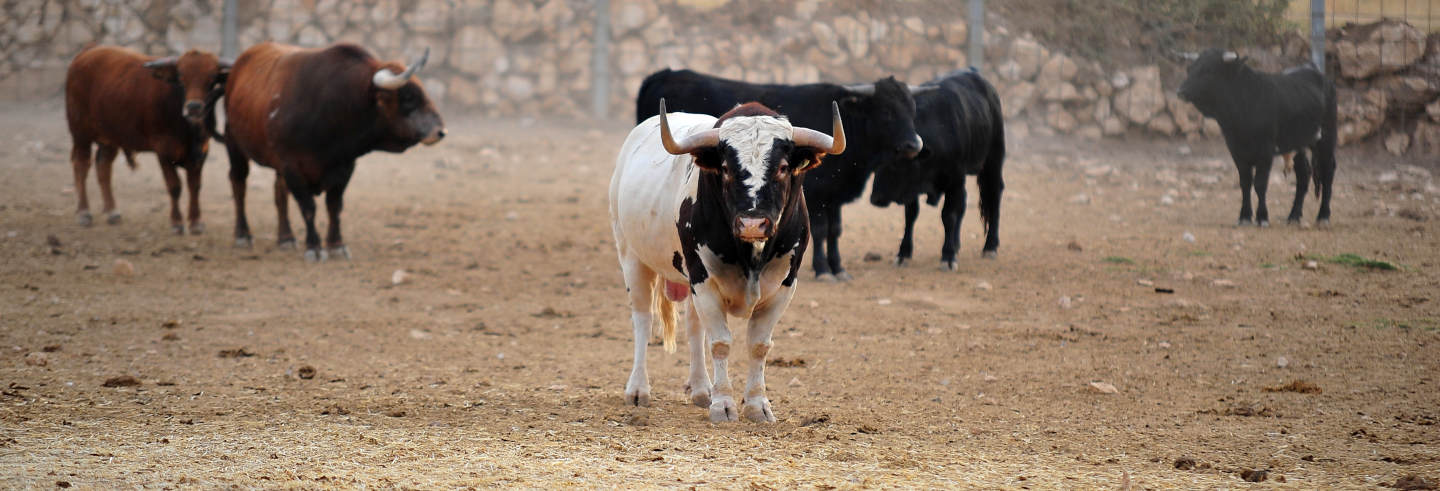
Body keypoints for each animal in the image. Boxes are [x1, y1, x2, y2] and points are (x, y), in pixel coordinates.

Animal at [65, 44, 230, 231]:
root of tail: (86, 53)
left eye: (212, 78)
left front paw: (196, 222)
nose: (194, 107)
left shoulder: (201, 153)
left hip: (110, 136)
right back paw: (83, 212)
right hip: (80, 133)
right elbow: (174, 186)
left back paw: (112, 211)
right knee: (81, 164)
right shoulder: (164, 151)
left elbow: (195, 186)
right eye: (181, 77)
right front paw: (176, 222)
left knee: (104, 166)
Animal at [218, 43, 440, 260]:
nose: (440, 131)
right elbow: (308, 207)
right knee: (239, 184)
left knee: (279, 192)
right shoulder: (292, 167)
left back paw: (286, 237)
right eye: (409, 97)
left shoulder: (344, 167)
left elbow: (334, 206)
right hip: (234, 144)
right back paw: (243, 234)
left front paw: (336, 245)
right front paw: (314, 246)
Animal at [607, 99, 840, 420]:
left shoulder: (784, 285)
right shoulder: (704, 280)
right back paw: (639, 389)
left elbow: (758, 345)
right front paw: (723, 404)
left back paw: (700, 388)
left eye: (782, 167)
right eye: (726, 168)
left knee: (693, 327)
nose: (753, 223)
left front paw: (757, 404)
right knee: (642, 320)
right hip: (632, 258)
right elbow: (720, 342)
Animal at [869, 67, 1008, 269]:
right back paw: (957, 243)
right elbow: (911, 215)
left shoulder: (955, 179)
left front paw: (948, 256)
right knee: (964, 203)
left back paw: (990, 246)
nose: (875, 199)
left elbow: (948, 215)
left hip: (993, 160)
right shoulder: (913, 185)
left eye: (895, 164)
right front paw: (904, 253)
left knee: (994, 196)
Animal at [1180, 49, 1336, 226]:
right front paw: (1245, 216)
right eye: (1190, 69)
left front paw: (1262, 217)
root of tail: (1322, 77)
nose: (1181, 91)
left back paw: (1323, 215)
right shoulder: (1236, 150)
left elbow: (1260, 184)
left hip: (1326, 138)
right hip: (1298, 143)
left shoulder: (1266, 152)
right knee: (1304, 173)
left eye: (1208, 70)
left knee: (1328, 171)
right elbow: (1245, 183)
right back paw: (1294, 216)